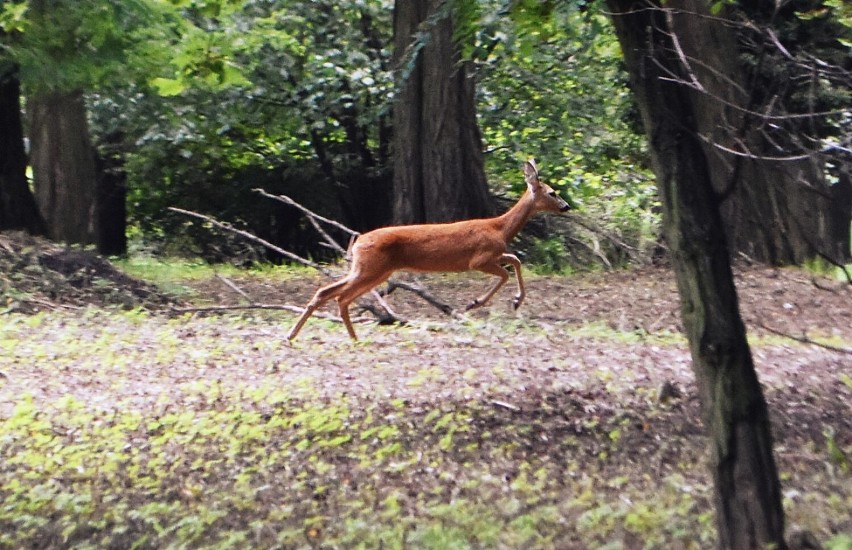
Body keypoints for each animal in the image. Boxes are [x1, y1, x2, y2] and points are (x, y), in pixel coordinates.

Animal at [288, 158, 572, 340]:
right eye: (552, 192)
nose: (567, 206)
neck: (499, 228)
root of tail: (357, 241)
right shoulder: (478, 259)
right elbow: (508, 269)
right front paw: (476, 303)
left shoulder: (494, 254)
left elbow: (515, 260)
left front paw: (514, 301)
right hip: (371, 268)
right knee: (340, 296)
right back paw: (350, 337)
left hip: (371, 269)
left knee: (328, 292)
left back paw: (295, 335)